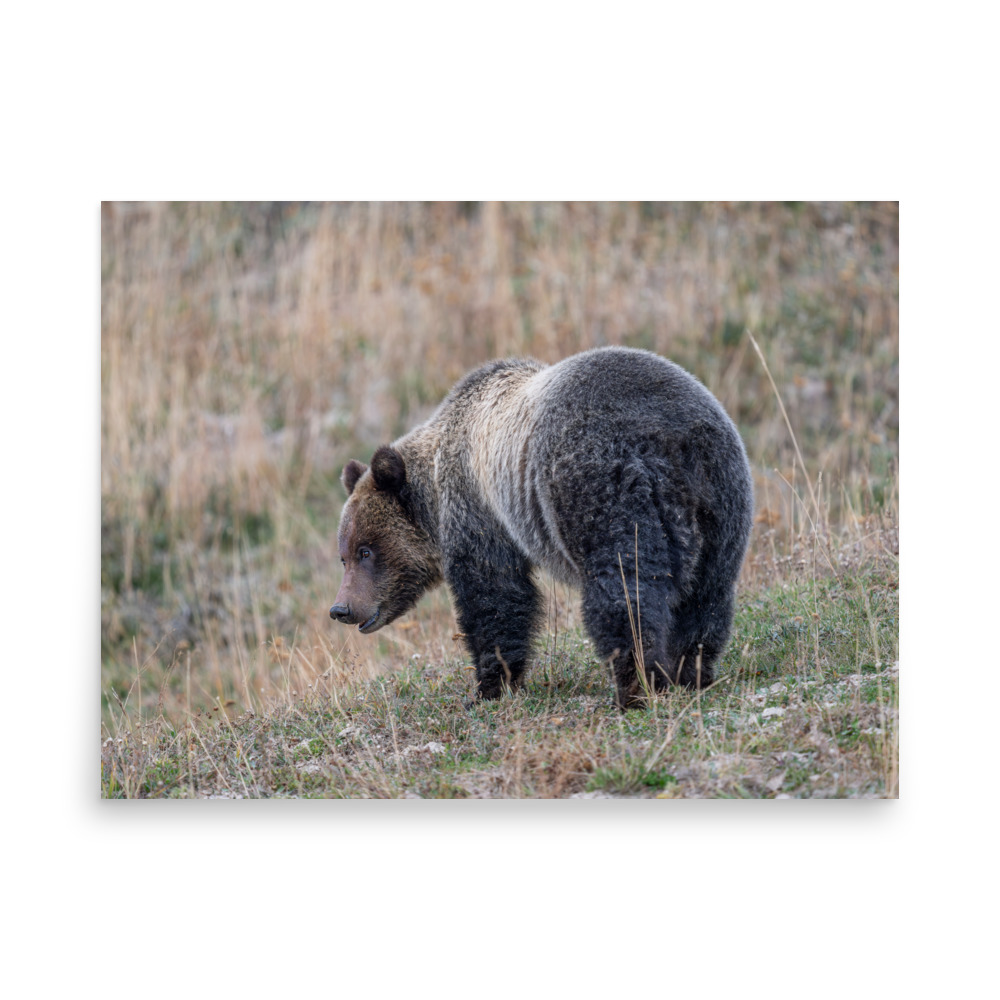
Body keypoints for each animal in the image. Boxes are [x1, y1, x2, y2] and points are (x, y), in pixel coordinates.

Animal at [330, 346, 753, 709]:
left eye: (366, 550)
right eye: (344, 555)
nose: (341, 608)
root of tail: (672, 439)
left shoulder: (479, 510)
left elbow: (495, 596)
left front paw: (489, 687)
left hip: (603, 488)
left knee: (624, 592)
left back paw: (635, 687)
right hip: (721, 500)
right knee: (707, 594)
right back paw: (691, 672)